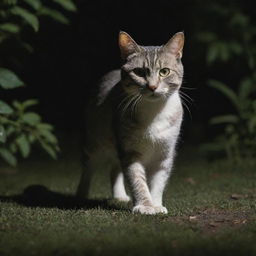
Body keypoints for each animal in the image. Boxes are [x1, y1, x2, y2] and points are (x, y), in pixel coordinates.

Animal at [76, 30, 184, 214]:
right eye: (139, 72)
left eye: (164, 71)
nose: (153, 87)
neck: (154, 112)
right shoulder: (130, 151)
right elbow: (137, 181)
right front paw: (145, 206)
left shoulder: (164, 154)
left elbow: (158, 182)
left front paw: (156, 204)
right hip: (95, 143)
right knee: (88, 168)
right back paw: (81, 195)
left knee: (114, 169)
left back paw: (119, 196)